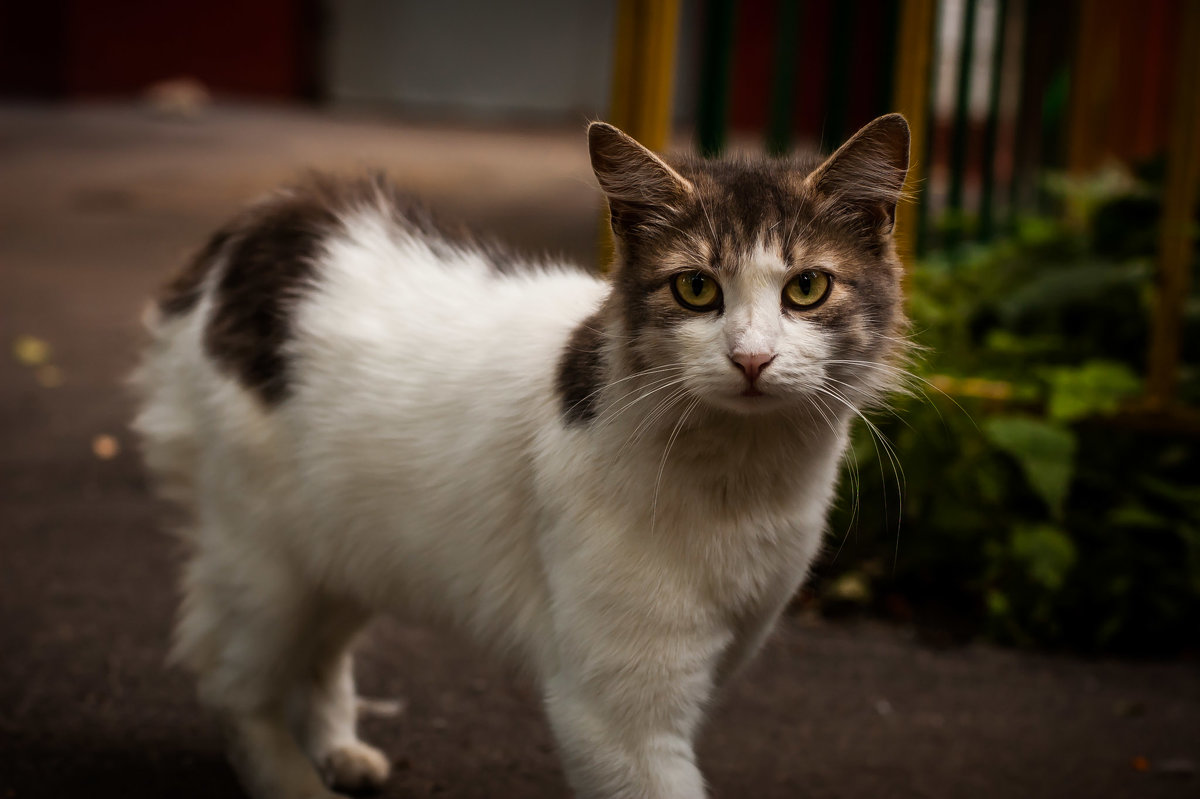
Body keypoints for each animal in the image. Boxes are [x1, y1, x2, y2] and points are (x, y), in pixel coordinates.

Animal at [133, 113, 907, 796]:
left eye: (806, 288)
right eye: (696, 289)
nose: (752, 359)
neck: (743, 477)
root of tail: (282, 211)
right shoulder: (617, 715)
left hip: (350, 551)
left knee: (314, 658)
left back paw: (335, 750)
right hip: (267, 567)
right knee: (232, 684)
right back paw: (295, 782)